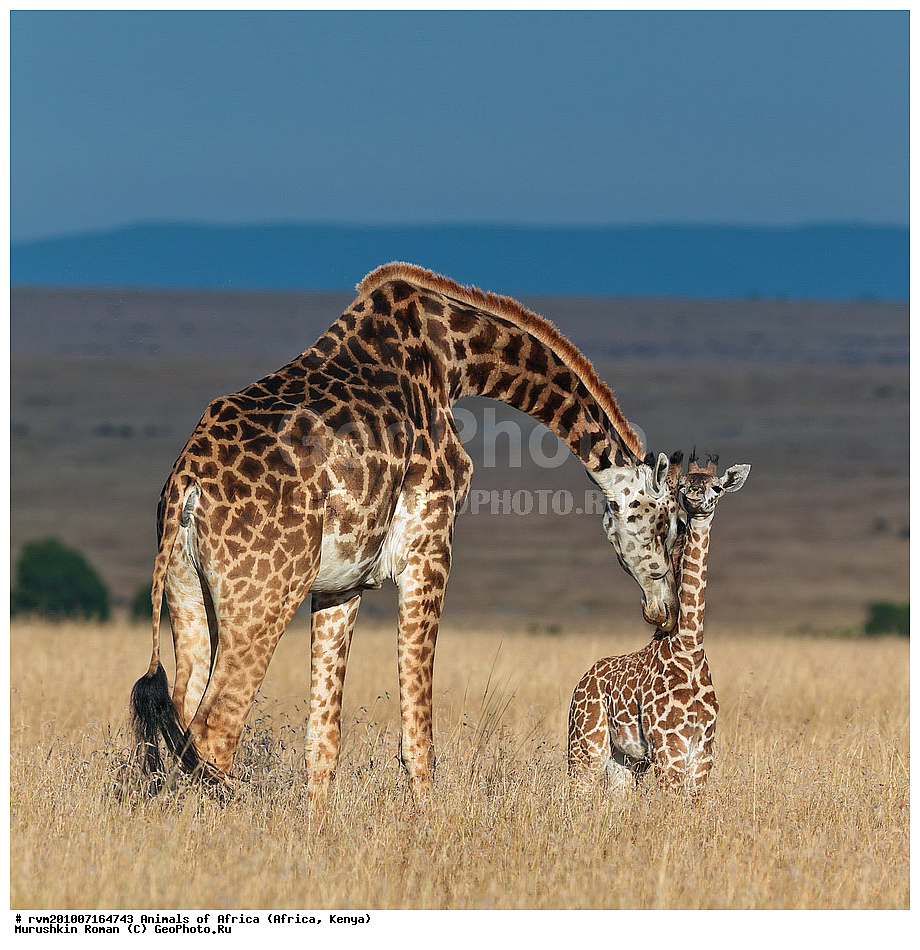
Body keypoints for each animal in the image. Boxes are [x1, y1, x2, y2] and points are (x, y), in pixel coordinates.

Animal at [131, 262, 682, 808]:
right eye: (670, 524)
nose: (665, 610)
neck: (455, 359)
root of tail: (187, 482)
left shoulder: (340, 584)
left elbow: (323, 740)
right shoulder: (429, 547)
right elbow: (418, 737)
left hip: (187, 592)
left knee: (182, 719)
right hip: (262, 598)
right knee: (214, 732)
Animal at [567, 452, 750, 794]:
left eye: (717, 487)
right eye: (684, 485)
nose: (695, 497)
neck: (689, 646)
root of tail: (583, 679)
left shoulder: (703, 749)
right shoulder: (669, 745)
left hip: (625, 760)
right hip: (586, 743)